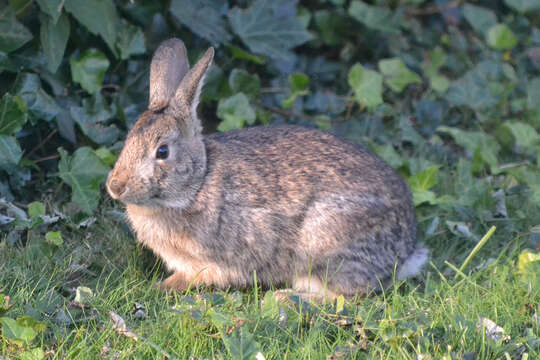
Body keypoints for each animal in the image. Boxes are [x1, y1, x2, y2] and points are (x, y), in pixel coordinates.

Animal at [106, 38, 426, 298]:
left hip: (324, 247)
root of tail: (406, 250)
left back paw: (285, 298)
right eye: (128, 139)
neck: (198, 183)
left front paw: (164, 286)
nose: (115, 186)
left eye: (162, 152)